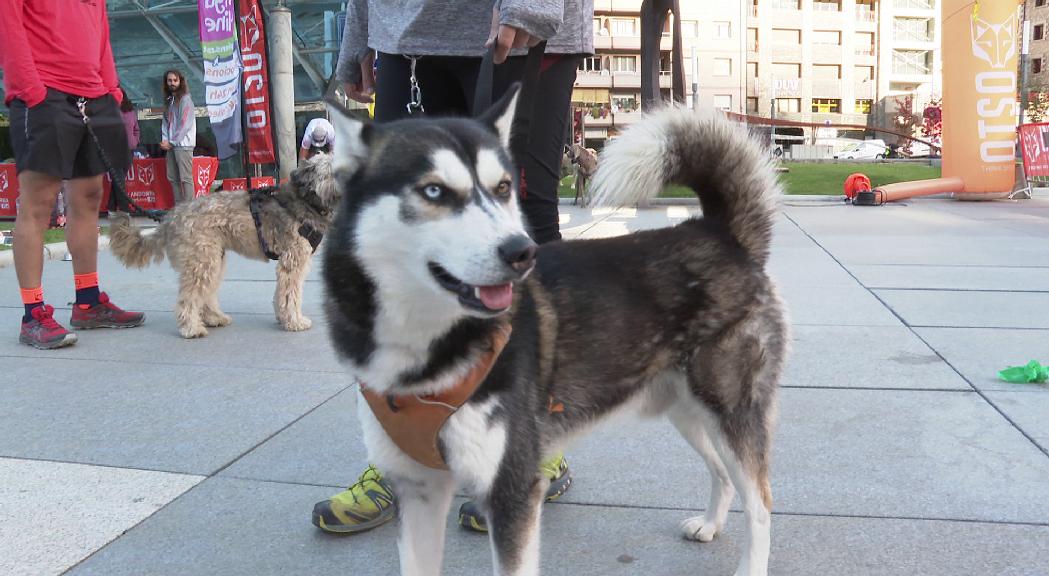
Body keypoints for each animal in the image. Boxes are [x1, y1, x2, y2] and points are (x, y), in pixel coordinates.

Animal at [106, 155, 337, 339]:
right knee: (189, 297)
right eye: (333, 172)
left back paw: (213, 317)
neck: (307, 201)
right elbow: (290, 294)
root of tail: (171, 217)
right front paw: (294, 321)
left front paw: (283, 318)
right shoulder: (293, 261)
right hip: (202, 260)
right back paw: (191, 328)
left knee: (205, 293)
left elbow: (281, 293)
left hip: (212, 259)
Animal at [323, 86, 788, 574]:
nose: (521, 251)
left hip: (729, 407)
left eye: (503, 188)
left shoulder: (511, 489)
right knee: (721, 470)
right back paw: (710, 524)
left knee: (761, 501)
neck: (427, 347)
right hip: (686, 407)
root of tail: (720, 234)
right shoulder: (417, 490)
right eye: (434, 190)